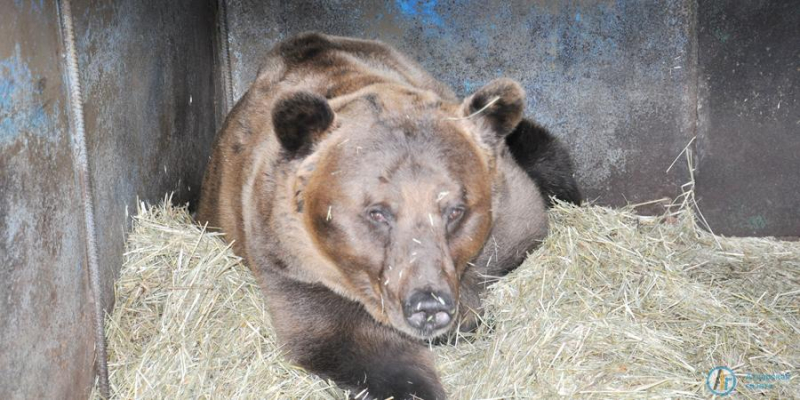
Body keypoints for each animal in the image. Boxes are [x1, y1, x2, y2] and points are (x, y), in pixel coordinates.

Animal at [197, 32, 580, 400]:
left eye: (455, 209)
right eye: (377, 213)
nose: (428, 303)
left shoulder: (508, 219)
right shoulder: (294, 266)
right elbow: (358, 347)